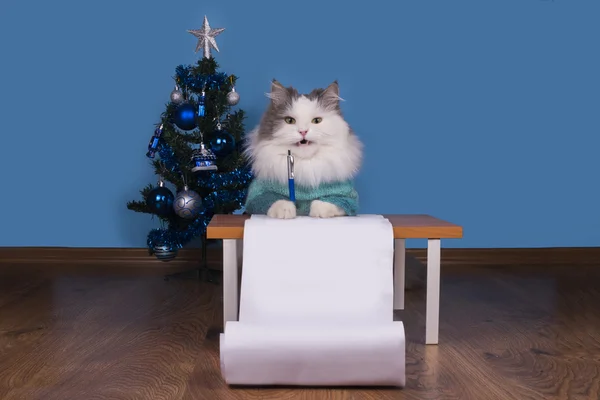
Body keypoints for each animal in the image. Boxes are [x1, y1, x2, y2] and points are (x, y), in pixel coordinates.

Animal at [241, 79, 364, 219]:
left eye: (317, 120)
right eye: (289, 120)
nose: (303, 131)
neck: (305, 165)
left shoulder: (348, 198)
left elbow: (327, 203)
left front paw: (317, 211)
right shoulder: (257, 195)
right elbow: (276, 200)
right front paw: (286, 210)